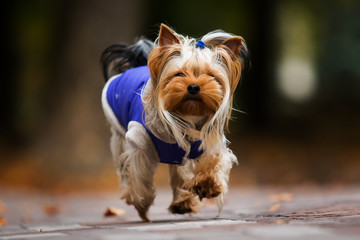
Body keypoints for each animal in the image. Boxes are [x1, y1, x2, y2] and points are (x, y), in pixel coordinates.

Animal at [100, 24, 248, 221]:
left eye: (210, 75)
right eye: (179, 74)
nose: (193, 86)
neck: (188, 116)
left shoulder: (202, 142)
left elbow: (212, 160)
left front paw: (208, 185)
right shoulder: (139, 141)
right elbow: (139, 172)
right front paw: (141, 202)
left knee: (179, 170)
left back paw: (182, 203)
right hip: (118, 136)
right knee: (124, 167)